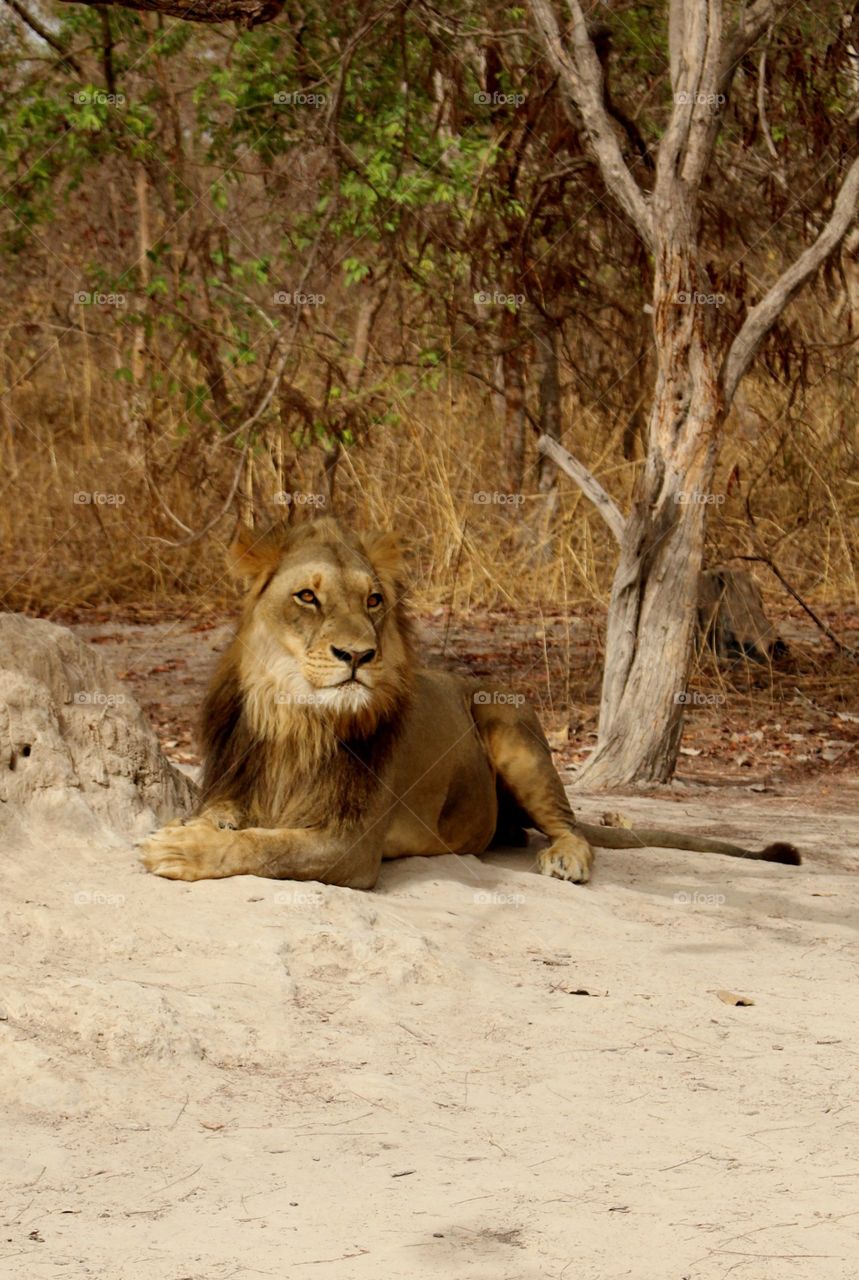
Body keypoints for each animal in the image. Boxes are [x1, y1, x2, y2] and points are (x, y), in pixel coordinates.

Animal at [140, 518, 800, 886]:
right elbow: (223, 817)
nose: (359, 655)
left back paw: (567, 860)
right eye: (307, 596)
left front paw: (181, 849)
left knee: (570, 825)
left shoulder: (350, 845)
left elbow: (266, 845)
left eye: (374, 600)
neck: (296, 719)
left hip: (511, 730)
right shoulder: (235, 781)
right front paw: (188, 829)